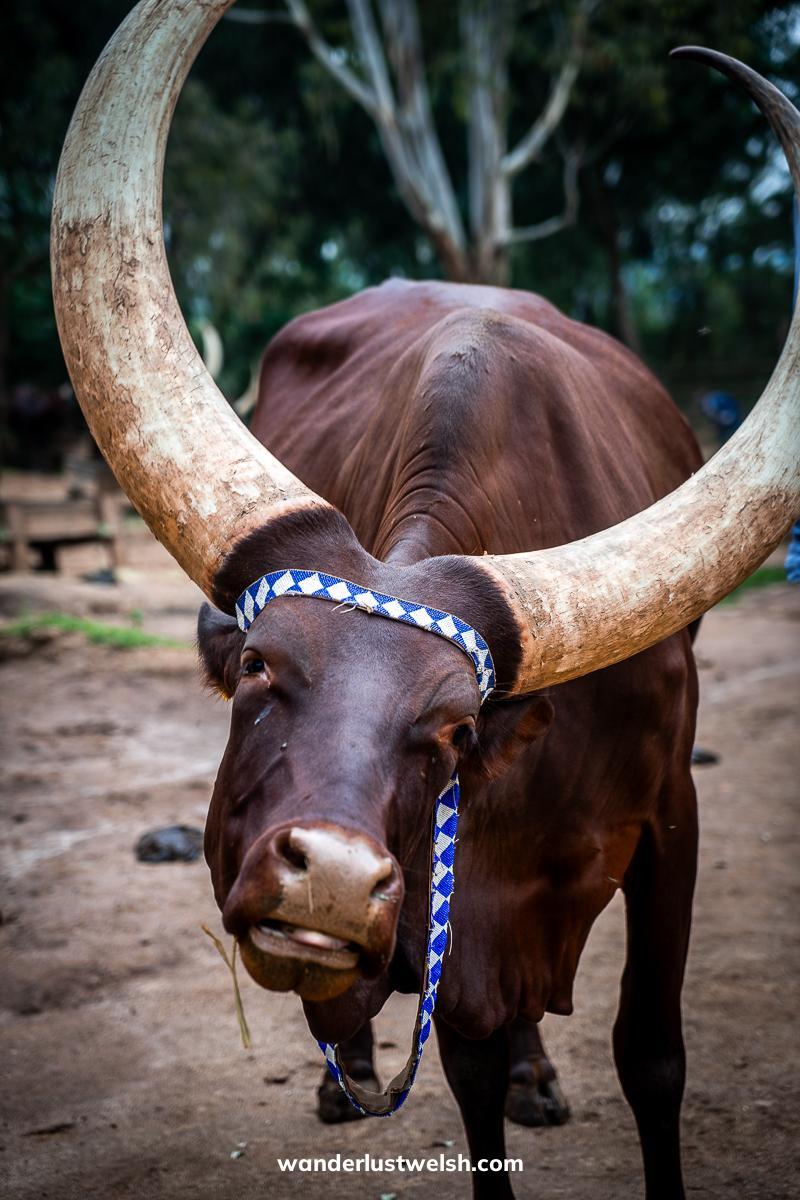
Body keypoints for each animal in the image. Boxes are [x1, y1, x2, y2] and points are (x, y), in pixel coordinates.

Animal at [50, 2, 799, 1197]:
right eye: (257, 667)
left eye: (452, 730)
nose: (331, 880)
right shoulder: (454, 934)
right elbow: (468, 1075)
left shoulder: (670, 819)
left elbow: (652, 1056)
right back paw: (345, 1070)